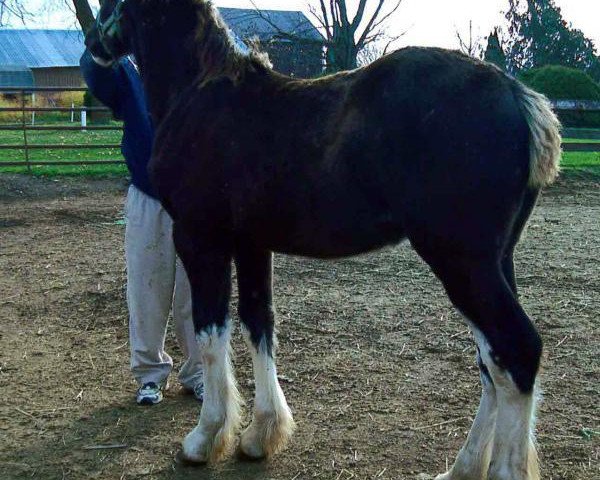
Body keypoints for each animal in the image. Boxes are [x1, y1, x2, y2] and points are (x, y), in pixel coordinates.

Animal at [85, 1, 564, 478]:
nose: (93, 45)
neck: (201, 91)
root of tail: (518, 95)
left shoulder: (201, 241)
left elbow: (211, 333)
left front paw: (204, 439)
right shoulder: (252, 244)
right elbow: (259, 323)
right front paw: (261, 436)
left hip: (462, 262)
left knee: (516, 349)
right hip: (496, 261)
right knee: (492, 362)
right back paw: (462, 467)